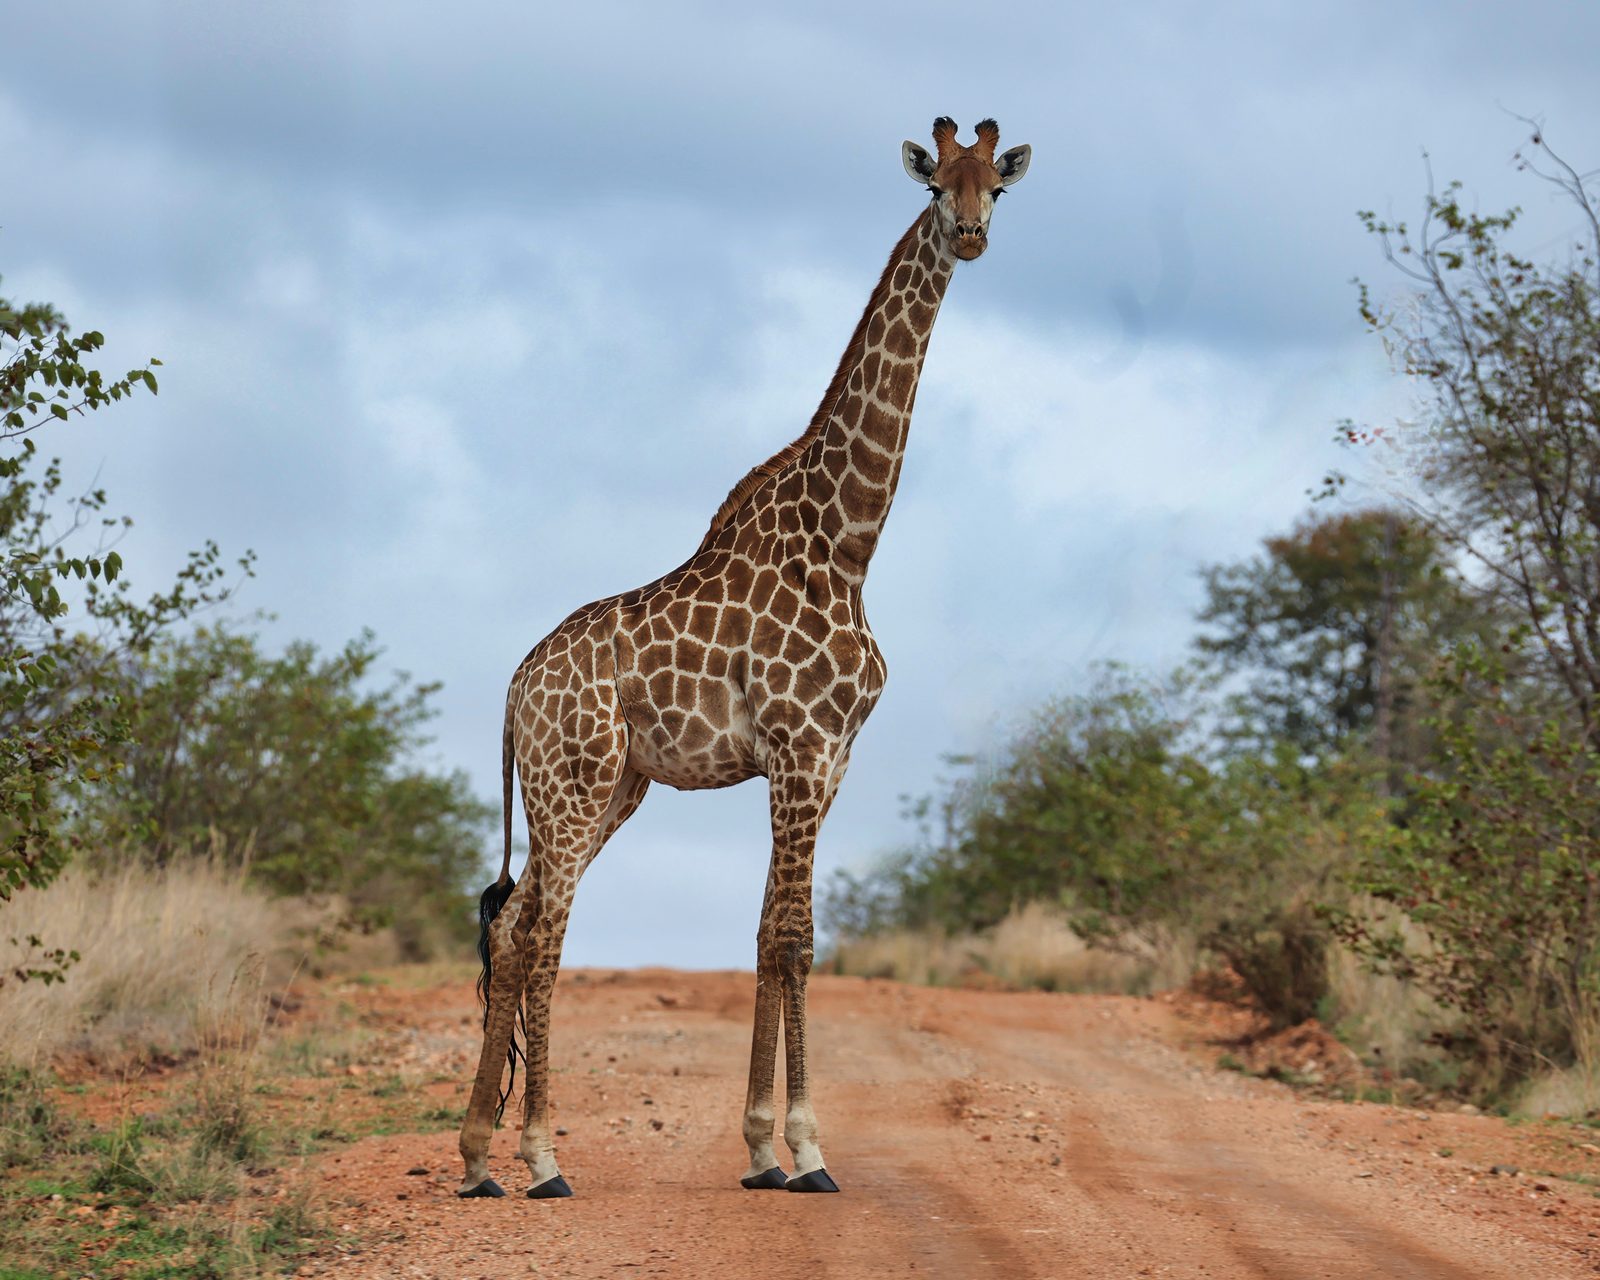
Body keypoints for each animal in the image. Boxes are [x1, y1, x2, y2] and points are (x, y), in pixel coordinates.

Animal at [458, 117, 1032, 1200]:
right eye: (937, 185)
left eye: (999, 187)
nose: (973, 235)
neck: (850, 540)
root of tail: (513, 691)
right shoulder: (801, 748)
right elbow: (796, 941)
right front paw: (808, 1150)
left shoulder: (825, 759)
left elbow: (769, 937)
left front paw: (763, 1149)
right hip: (572, 779)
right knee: (544, 933)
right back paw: (542, 1156)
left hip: (612, 787)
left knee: (512, 929)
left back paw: (476, 1158)